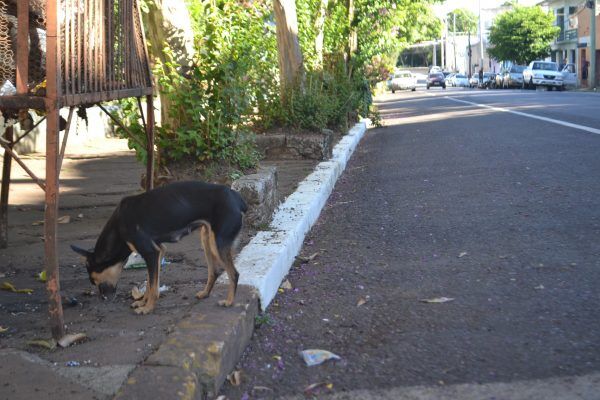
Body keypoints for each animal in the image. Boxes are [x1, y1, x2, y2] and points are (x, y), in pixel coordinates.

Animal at [71, 181, 247, 316]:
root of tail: (237, 198)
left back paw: (229, 301)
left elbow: (154, 286)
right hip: (207, 239)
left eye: (94, 281)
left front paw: (147, 308)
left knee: (234, 274)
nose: (103, 299)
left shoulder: (151, 252)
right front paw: (142, 302)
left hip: (218, 242)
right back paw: (205, 293)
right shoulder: (159, 251)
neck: (119, 226)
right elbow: (150, 282)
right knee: (214, 271)